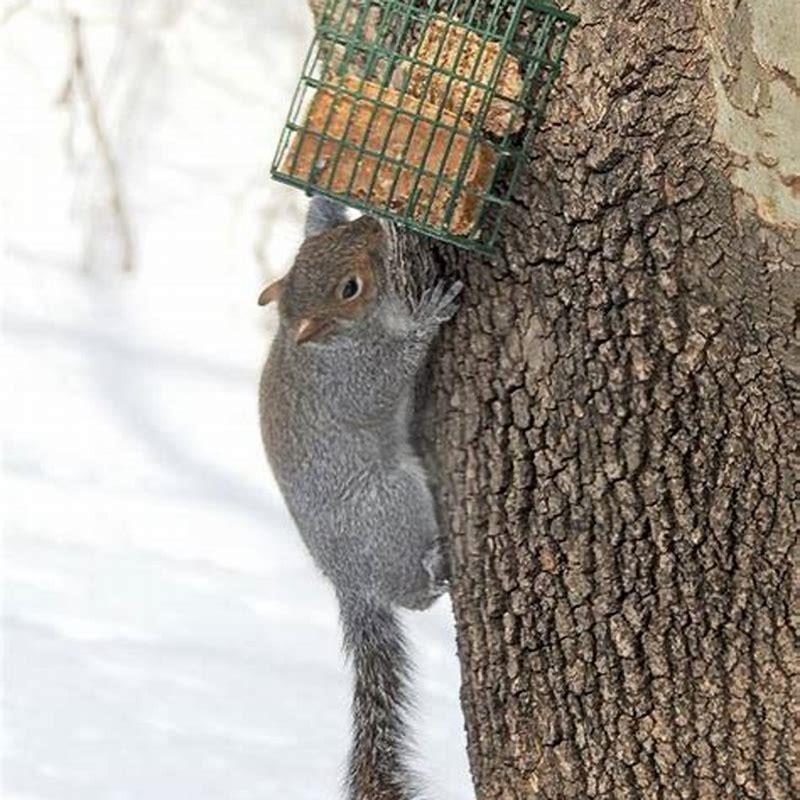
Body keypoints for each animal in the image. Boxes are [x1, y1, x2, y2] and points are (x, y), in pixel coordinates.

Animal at [256, 195, 462, 800]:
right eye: (351, 287)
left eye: (324, 243)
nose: (375, 227)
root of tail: (348, 583)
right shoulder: (354, 378)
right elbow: (392, 369)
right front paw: (427, 318)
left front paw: (326, 195)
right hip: (393, 504)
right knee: (414, 595)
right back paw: (435, 567)